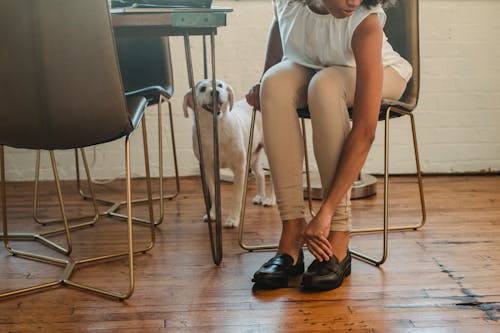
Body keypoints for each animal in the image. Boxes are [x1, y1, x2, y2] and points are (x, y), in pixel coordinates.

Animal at [185, 79, 278, 227]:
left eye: (220, 85)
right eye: (202, 89)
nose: (215, 92)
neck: (216, 130)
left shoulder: (239, 168)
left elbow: (236, 197)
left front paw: (233, 219)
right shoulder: (209, 168)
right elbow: (213, 193)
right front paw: (213, 213)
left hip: (268, 151)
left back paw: (270, 199)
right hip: (252, 155)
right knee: (261, 174)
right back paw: (260, 196)